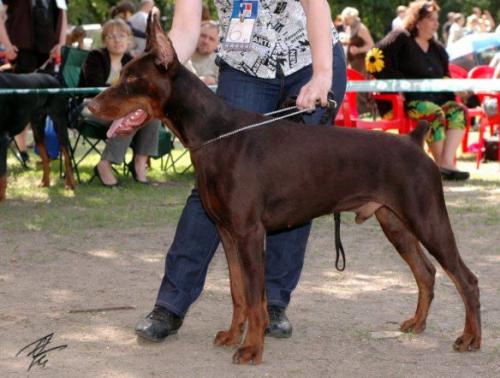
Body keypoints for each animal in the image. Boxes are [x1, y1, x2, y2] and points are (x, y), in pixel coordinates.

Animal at [0, 71, 75, 201]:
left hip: (59, 122)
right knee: (45, 157)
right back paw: (45, 182)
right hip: (37, 126)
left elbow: (2, 174)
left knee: (67, 155)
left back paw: (70, 184)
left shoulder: (2, 139)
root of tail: (54, 79)